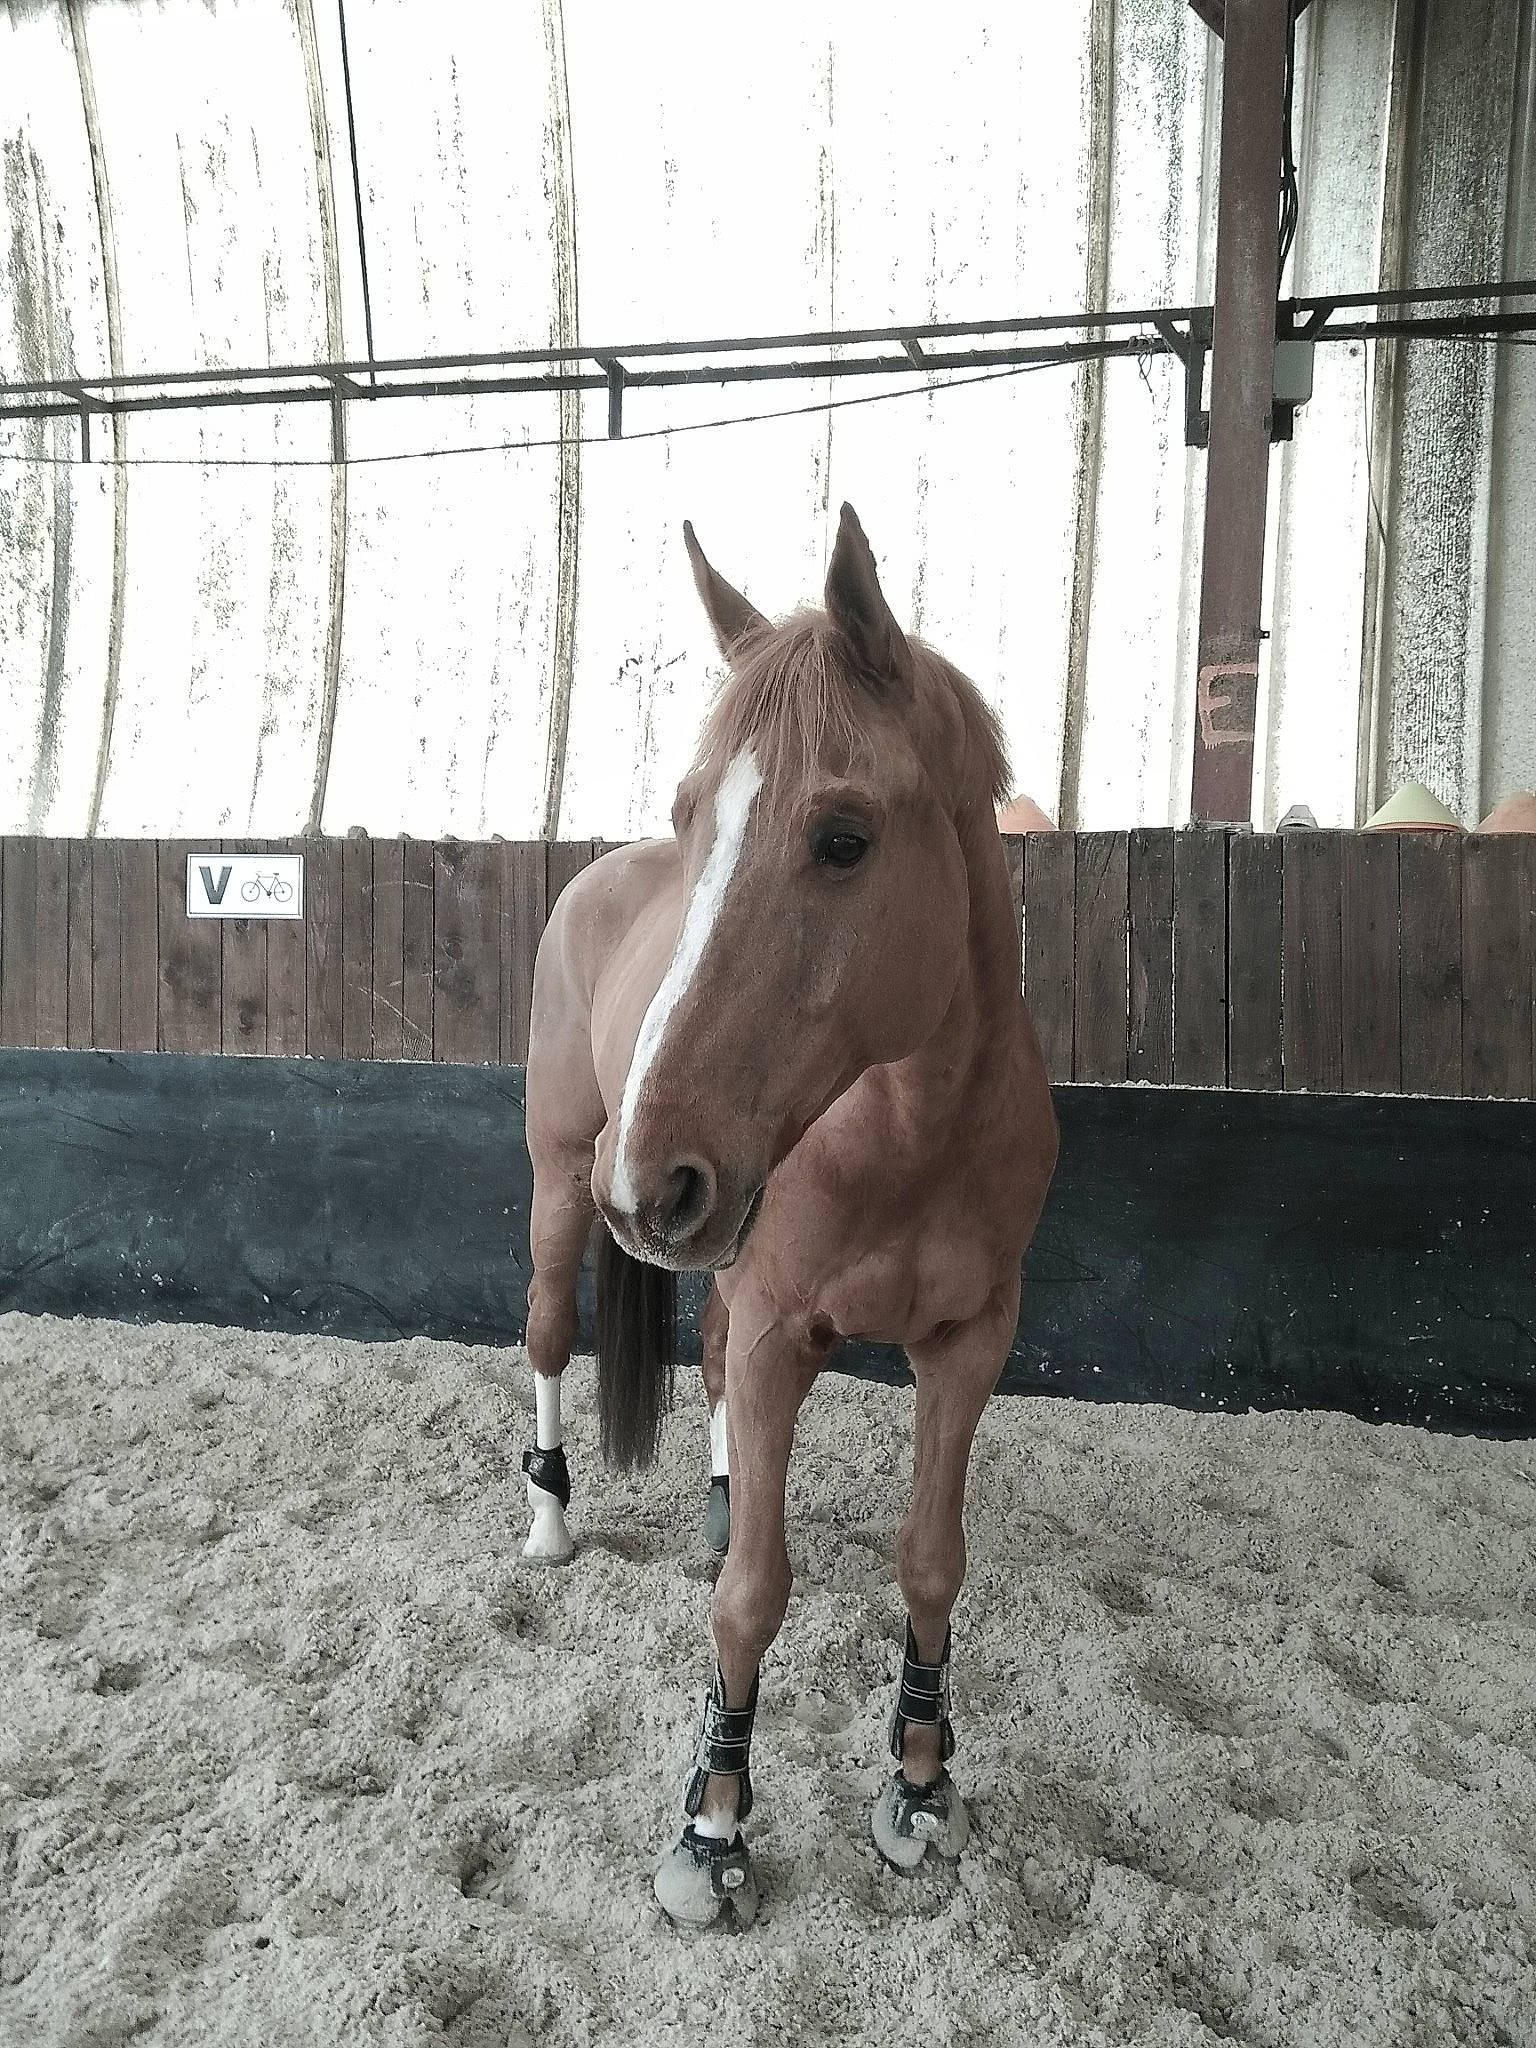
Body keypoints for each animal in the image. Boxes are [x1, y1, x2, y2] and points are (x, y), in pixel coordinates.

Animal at [520, 503, 1059, 1928]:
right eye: (694, 813)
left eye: (844, 837)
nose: (650, 1177)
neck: (908, 1130)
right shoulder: (776, 1333)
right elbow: (750, 1597)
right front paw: (712, 1825)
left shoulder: (967, 1346)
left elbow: (931, 1560)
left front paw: (921, 1781)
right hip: (558, 1183)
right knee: (546, 1335)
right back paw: (547, 1518)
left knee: (703, 1365)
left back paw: (714, 1488)